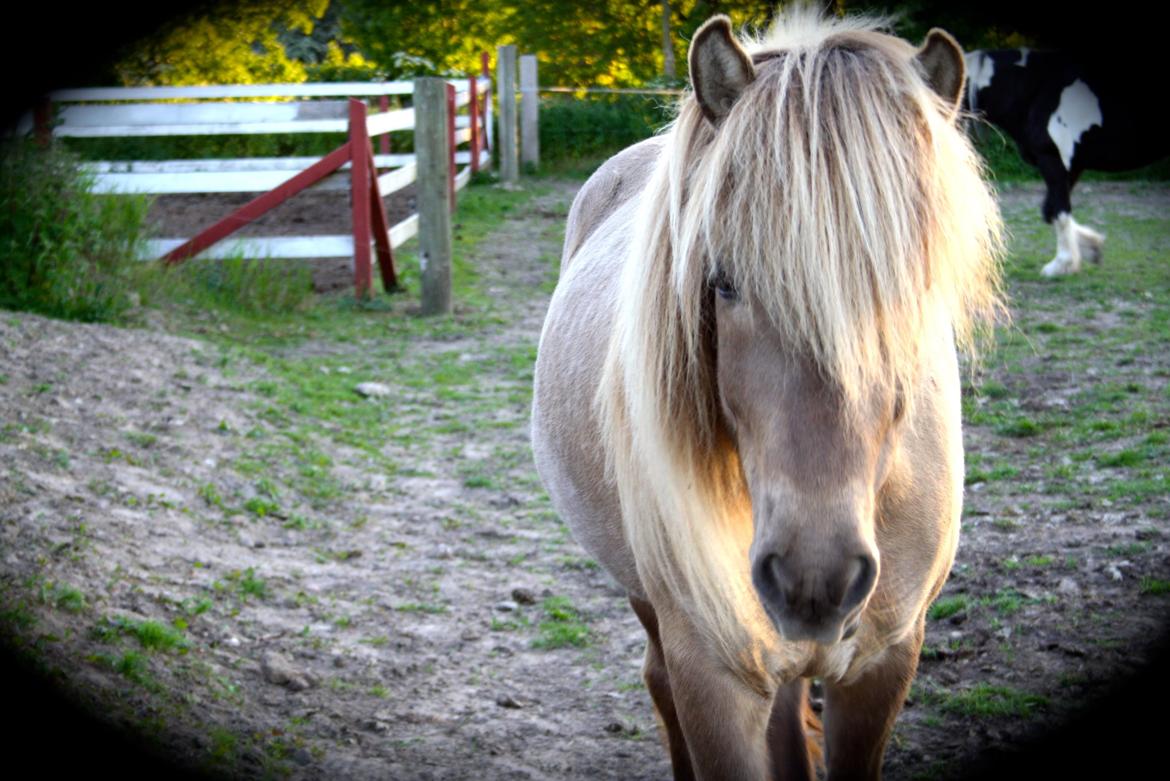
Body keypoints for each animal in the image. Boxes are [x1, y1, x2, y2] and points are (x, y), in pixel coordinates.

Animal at [535, 9, 1001, 776]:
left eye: (917, 289)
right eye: (721, 281)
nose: (816, 575)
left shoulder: (883, 665)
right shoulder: (714, 678)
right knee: (657, 678)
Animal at [964, 47, 1165, 275]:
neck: (1034, 89)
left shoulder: (1053, 161)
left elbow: (1060, 212)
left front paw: (1061, 264)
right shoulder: (1073, 167)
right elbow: (1050, 211)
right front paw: (1092, 248)